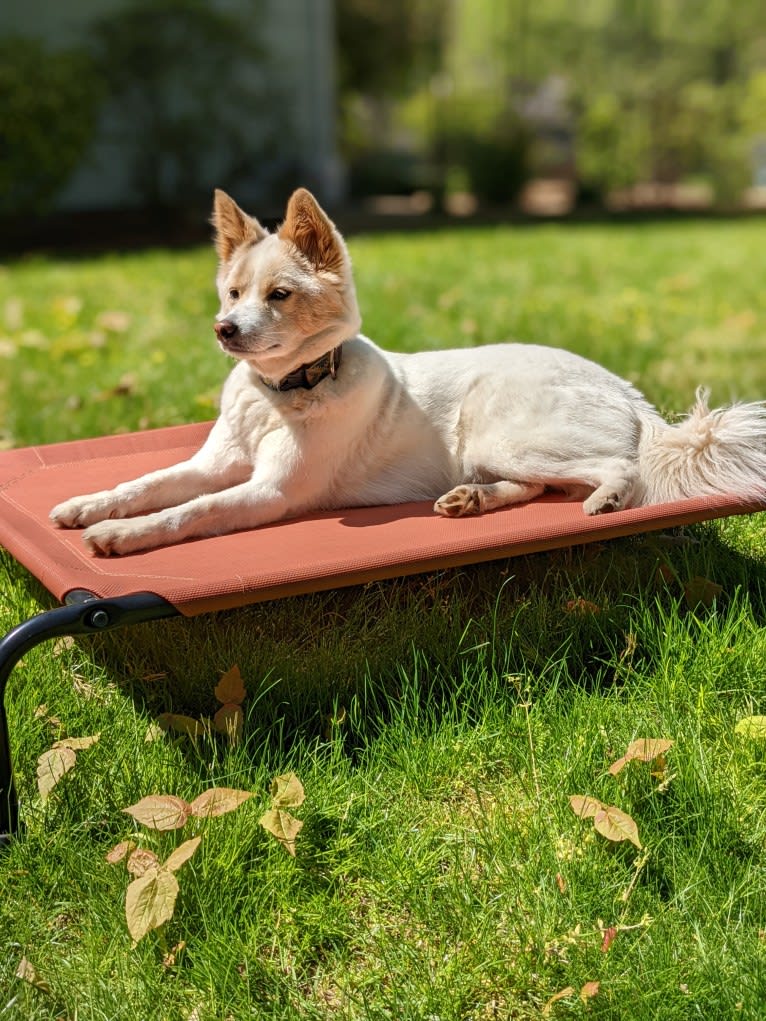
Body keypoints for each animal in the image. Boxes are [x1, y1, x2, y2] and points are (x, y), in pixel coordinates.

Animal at [51, 181, 766, 551]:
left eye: (278, 295)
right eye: (232, 292)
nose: (224, 330)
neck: (280, 394)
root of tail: (628, 390)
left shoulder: (271, 491)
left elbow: (190, 512)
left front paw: (121, 534)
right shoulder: (213, 464)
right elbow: (148, 482)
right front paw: (91, 504)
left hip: (502, 431)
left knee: (614, 469)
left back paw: (609, 498)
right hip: (490, 451)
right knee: (536, 488)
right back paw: (472, 500)